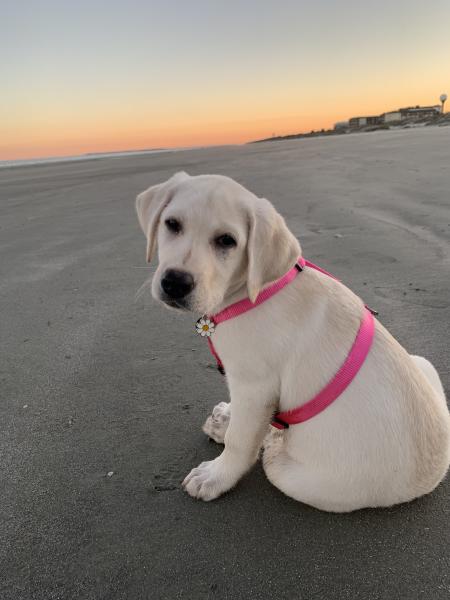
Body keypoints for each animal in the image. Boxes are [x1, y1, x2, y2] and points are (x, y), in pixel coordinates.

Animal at [136, 170, 450, 510]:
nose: (175, 283)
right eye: (172, 224)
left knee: (270, 451)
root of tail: (432, 476)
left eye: (227, 241)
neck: (253, 292)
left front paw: (216, 476)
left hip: (292, 474)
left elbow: (240, 441)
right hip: (422, 362)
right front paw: (227, 419)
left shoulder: (255, 386)